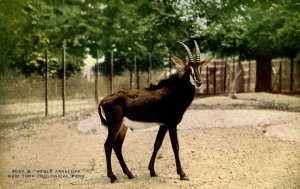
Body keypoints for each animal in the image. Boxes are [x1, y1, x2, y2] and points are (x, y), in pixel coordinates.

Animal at [98, 40, 211, 183]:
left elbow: (157, 144)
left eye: (200, 67)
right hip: (114, 125)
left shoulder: (163, 124)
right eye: (188, 68)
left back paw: (129, 174)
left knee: (117, 146)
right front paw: (182, 174)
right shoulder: (172, 123)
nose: (199, 82)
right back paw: (112, 177)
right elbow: (175, 145)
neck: (175, 92)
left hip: (122, 127)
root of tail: (103, 100)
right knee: (108, 145)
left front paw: (152, 171)